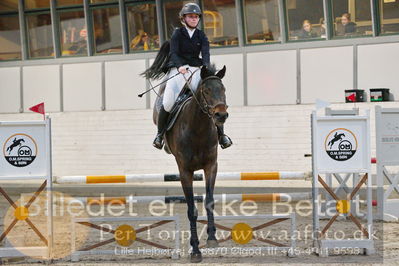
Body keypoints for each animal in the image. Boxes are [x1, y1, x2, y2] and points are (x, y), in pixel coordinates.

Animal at [145, 41, 230, 262]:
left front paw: (212, 238)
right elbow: (191, 209)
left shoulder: (211, 166)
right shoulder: (185, 171)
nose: (221, 115)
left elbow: (209, 202)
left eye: (223, 89)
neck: (197, 128)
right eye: (206, 91)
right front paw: (195, 250)